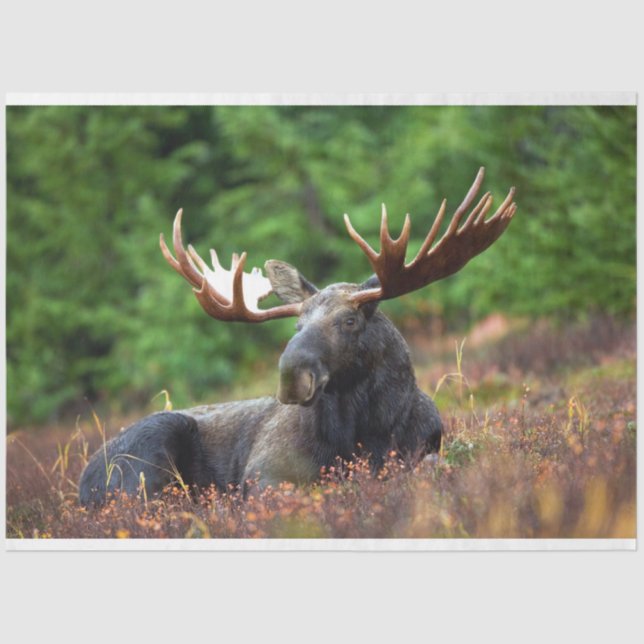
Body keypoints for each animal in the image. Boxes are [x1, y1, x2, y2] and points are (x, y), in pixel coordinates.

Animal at [78, 167, 516, 507]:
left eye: (349, 321)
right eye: (297, 325)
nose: (291, 376)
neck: (369, 432)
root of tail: (83, 483)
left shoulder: (425, 448)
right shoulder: (264, 473)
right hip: (148, 453)